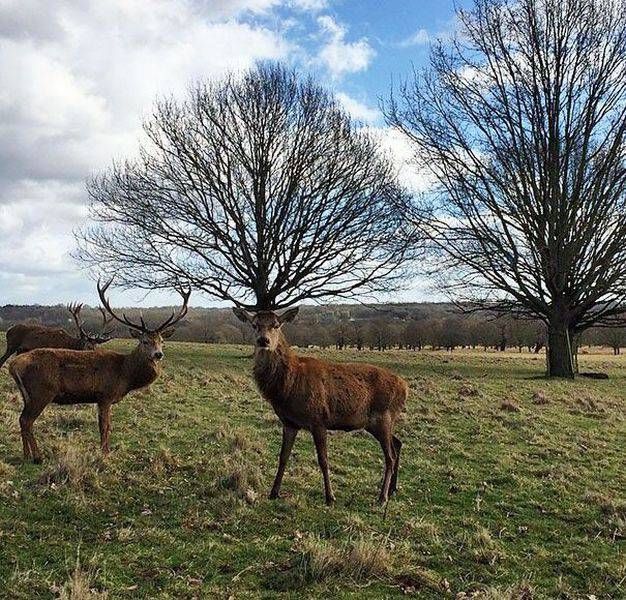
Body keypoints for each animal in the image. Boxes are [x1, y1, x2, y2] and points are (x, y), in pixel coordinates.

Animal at [7, 282, 188, 464]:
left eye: (162, 341)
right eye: (144, 341)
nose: (158, 354)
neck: (125, 374)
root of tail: (13, 365)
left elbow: (107, 426)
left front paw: (106, 451)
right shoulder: (105, 395)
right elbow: (104, 426)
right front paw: (105, 454)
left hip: (28, 395)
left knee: (22, 419)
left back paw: (26, 455)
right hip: (42, 391)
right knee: (26, 420)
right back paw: (37, 456)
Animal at [232, 308, 408, 504]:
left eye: (276, 325)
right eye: (254, 324)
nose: (263, 340)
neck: (289, 386)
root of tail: (405, 387)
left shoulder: (318, 419)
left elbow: (323, 460)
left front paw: (330, 497)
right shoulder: (289, 423)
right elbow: (283, 457)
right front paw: (273, 492)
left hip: (383, 417)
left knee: (390, 456)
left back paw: (382, 497)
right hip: (379, 423)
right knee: (397, 443)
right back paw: (392, 489)